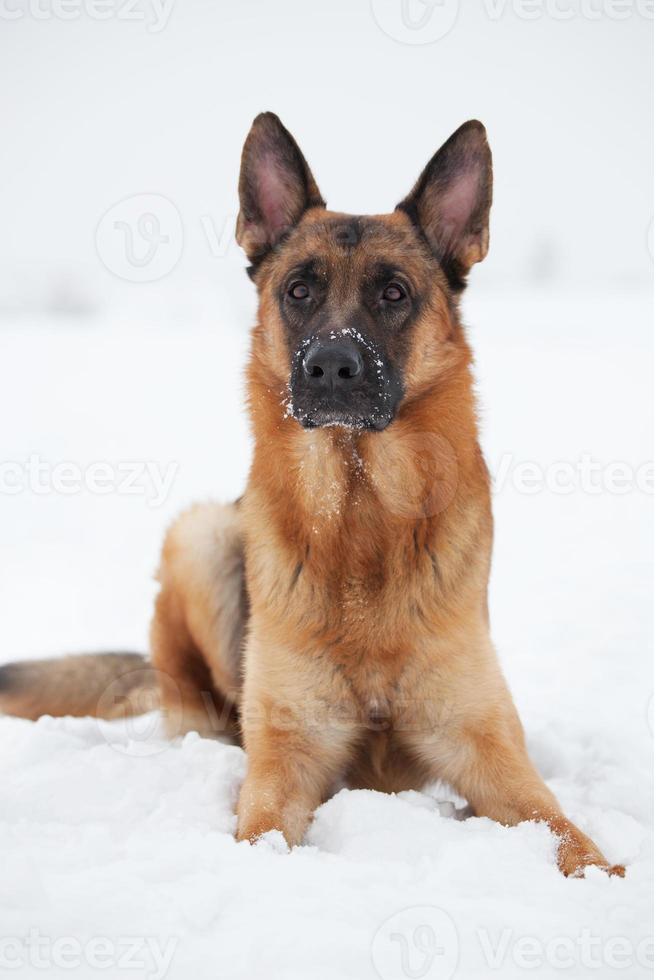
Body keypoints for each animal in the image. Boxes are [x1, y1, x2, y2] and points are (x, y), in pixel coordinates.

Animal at [0, 115, 624, 880]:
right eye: (299, 291)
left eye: (394, 293)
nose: (330, 365)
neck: (360, 521)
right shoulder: (287, 762)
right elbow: (260, 830)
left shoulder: (489, 752)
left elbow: (567, 831)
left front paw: (607, 878)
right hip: (199, 536)